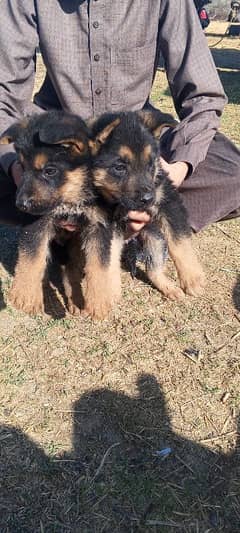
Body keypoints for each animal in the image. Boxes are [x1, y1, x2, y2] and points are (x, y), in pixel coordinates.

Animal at [85, 109, 205, 314]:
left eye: (150, 164)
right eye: (119, 167)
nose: (149, 199)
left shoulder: (169, 202)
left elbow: (180, 243)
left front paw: (192, 278)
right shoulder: (109, 224)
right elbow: (108, 259)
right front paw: (108, 291)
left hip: (156, 238)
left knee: (154, 267)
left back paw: (169, 287)